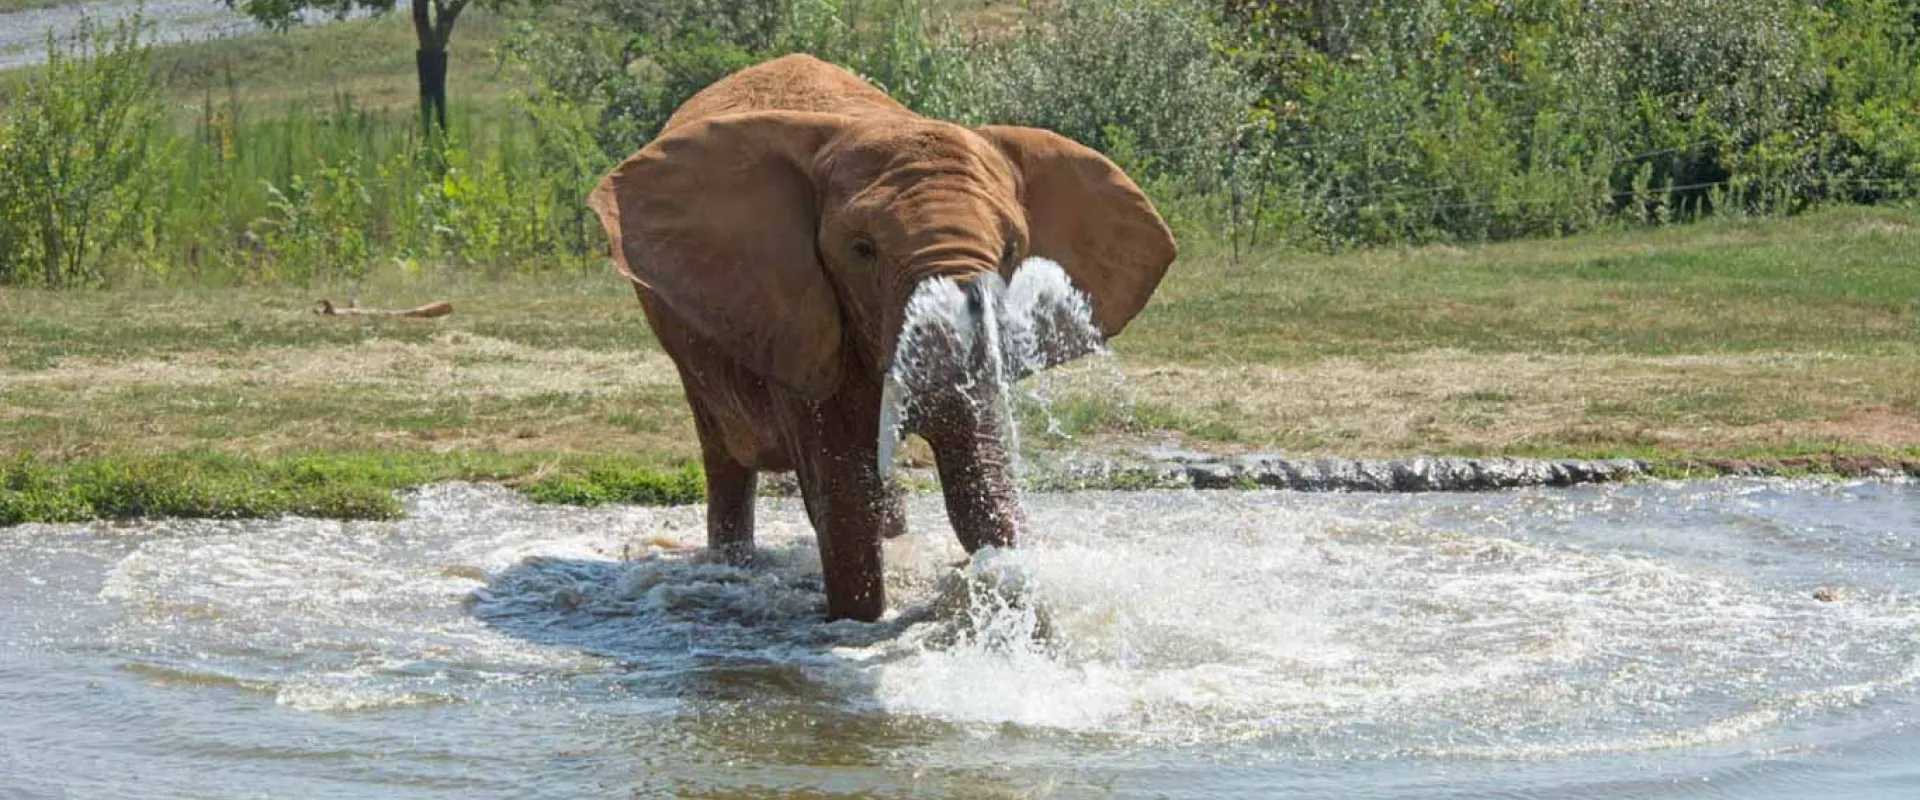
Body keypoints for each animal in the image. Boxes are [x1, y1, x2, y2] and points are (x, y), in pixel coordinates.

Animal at [587, 54, 1175, 621]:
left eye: (1011, 249)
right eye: (862, 250)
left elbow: (977, 487)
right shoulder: (798, 314)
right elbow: (845, 498)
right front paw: (857, 624)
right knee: (729, 458)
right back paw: (732, 567)